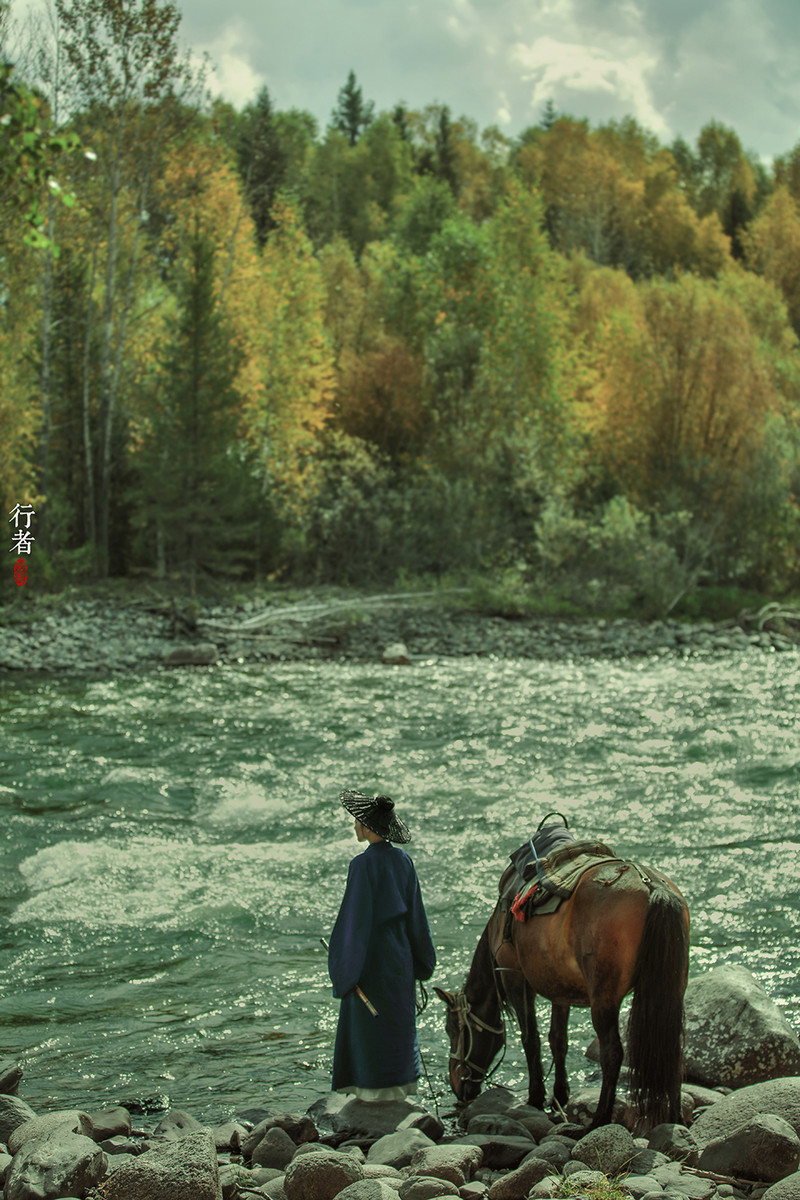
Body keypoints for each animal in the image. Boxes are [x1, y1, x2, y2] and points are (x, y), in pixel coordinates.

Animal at [434, 844, 690, 1123]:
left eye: (452, 1029)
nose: (457, 1085)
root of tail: (650, 885)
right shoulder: (560, 990)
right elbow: (558, 1040)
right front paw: (559, 1096)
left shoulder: (514, 977)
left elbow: (531, 1038)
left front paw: (535, 1097)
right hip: (671, 991)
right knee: (673, 1051)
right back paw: (674, 1115)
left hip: (604, 997)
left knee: (612, 1053)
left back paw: (599, 1119)